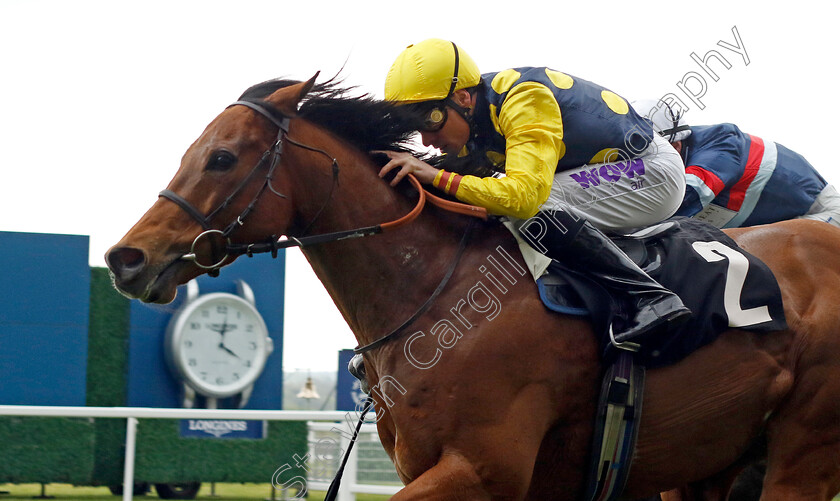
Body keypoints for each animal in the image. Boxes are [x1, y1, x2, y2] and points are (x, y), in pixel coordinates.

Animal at [106, 76, 840, 498]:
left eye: (222, 157)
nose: (126, 257)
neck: (434, 291)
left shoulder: (484, 467)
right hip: (707, 464)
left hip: (803, 451)